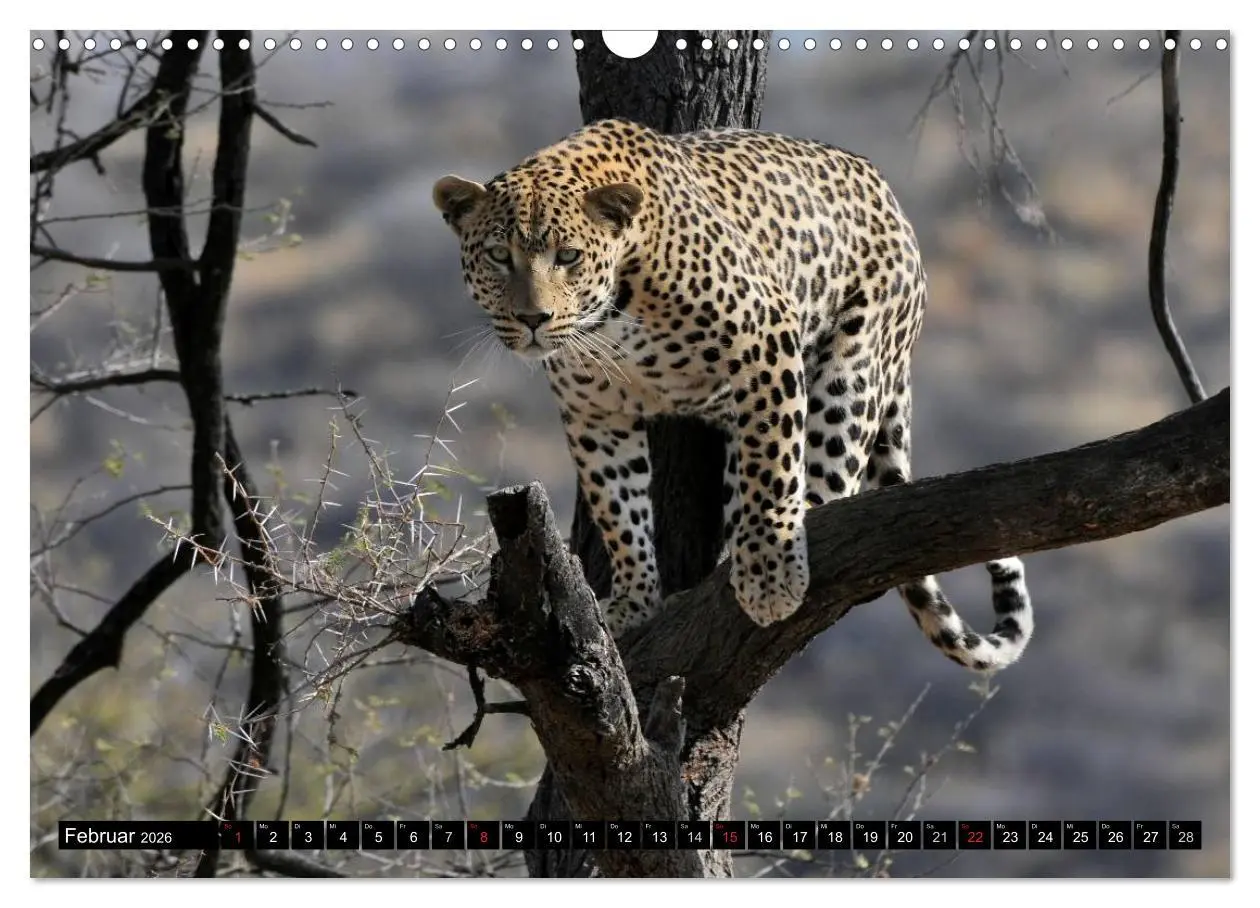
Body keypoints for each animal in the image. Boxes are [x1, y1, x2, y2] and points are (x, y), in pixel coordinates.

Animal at [433, 118, 1033, 672]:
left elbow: (773, 470)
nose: (533, 318)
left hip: (854, 366)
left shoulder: (766, 344)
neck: (611, 312)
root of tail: (890, 198)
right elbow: (619, 508)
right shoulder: (594, 413)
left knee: (830, 477)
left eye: (569, 257)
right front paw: (633, 601)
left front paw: (770, 573)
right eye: (498, 256)